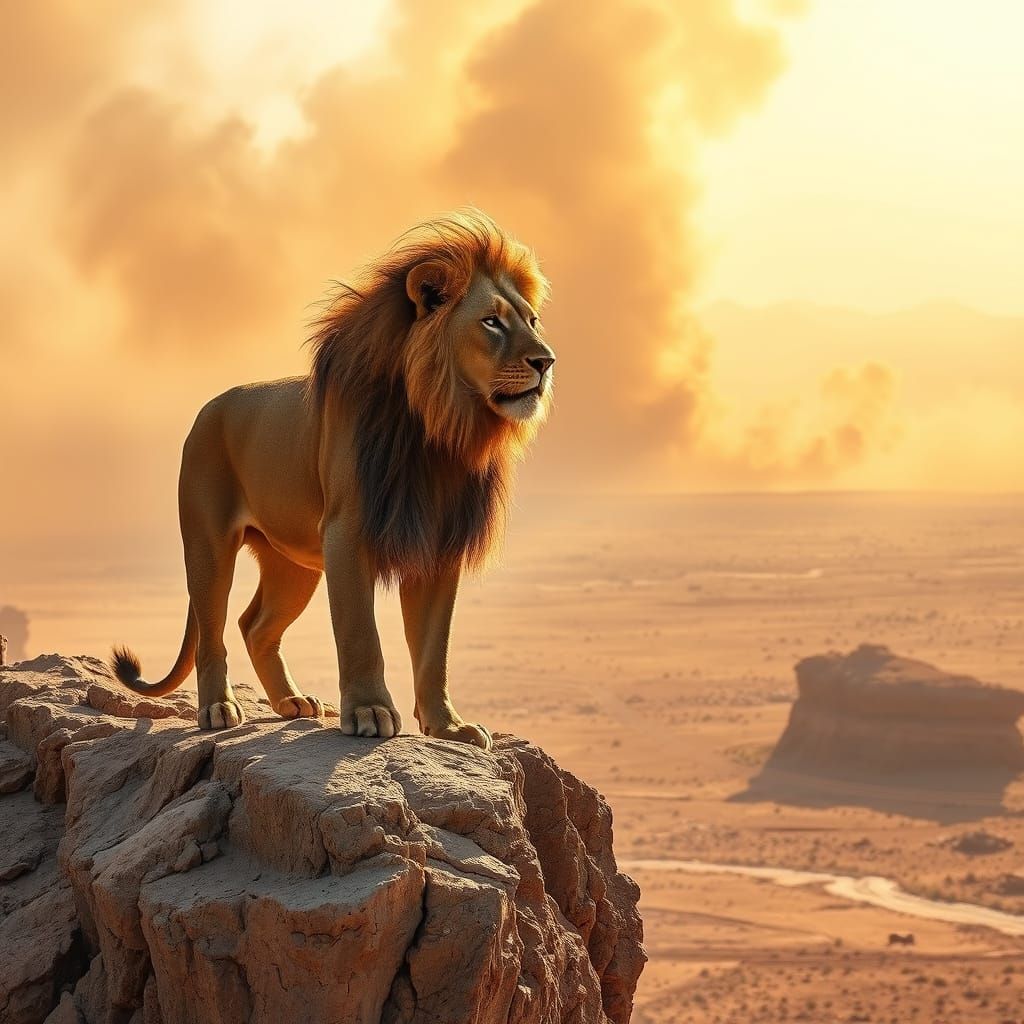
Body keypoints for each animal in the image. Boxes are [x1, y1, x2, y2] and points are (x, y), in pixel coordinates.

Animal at [111, 210, 554, 749]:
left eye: (532, 321)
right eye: (491, 321)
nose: (546, 361)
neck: (440, 429)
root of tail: (209, 408)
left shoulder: (437, 543)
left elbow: (435, 649)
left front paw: (449, 726)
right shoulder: (347, 532)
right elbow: (361, 632)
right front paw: (368, 712)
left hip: (294, 564)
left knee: (255, 625)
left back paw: (291, 702)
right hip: (208, 543)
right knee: (212, 630)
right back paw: (218, 708)